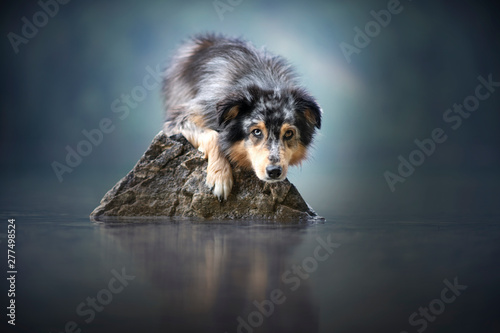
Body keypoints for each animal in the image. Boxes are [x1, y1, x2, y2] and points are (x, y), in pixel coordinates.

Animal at [162, 33, 322, 200]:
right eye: (256, 131)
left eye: (289, 133)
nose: (274, 171)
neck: (266, 83)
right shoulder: (179, 118)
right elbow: (214, 137)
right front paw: (220, 177)